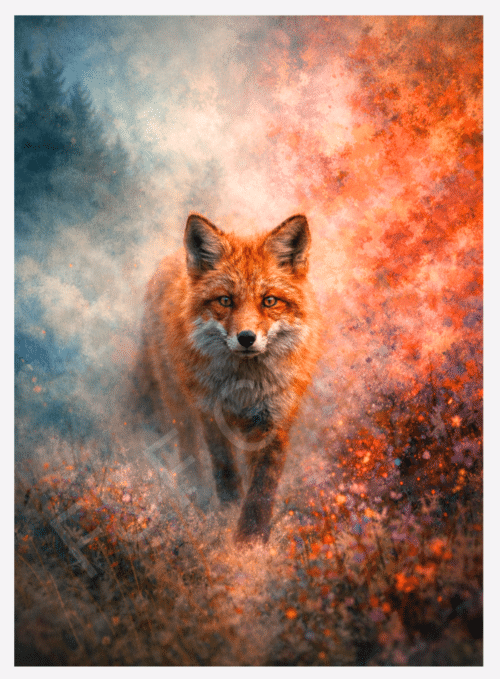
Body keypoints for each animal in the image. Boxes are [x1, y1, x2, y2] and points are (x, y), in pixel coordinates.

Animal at [135, 213, 321, 544]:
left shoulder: (274, 419)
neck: (245, 389)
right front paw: (228, 516)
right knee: (188, 447)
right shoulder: (212, 414)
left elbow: (262, 485)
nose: (246, 338)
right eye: (225, 300)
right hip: (178, 401)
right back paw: (193, 491)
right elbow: (225, 471)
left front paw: (251, 540)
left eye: (269, 301)